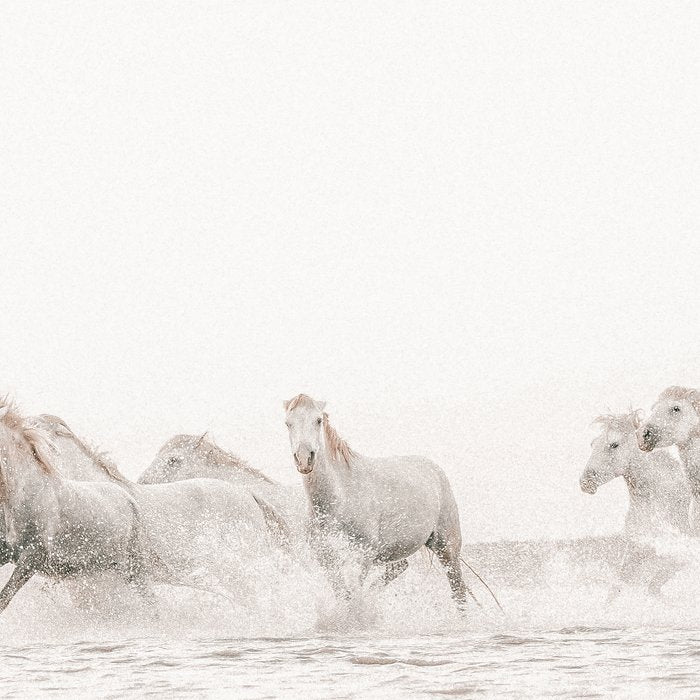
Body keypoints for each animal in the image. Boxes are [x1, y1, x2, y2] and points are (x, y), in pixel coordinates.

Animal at [283, 393, 470, 608]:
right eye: (288, 423)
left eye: (318, 420)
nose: (304, 459)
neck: (339, 498)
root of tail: (435, 469)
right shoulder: (325, 554)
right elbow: (344, 592)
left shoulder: (363, 554)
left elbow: (354, 592)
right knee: (399, 567)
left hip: (447, 549)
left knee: (458, 591)